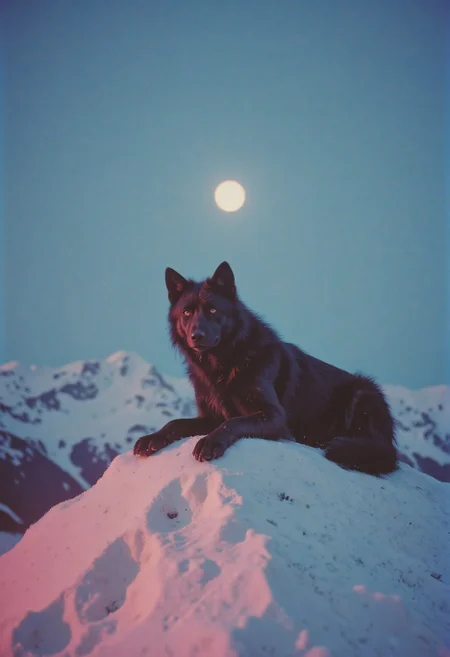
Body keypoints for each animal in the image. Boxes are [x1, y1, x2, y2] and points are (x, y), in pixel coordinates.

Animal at [134, 262, 397, 475]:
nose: (195, 336)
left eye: (212, 310)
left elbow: (235, 422)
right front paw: (152, 438)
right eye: (187, 312)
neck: (223, 365)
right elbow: (176, 423)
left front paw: (211, 442)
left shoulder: (274, 416)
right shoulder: (210, 417)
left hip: (362, 390)